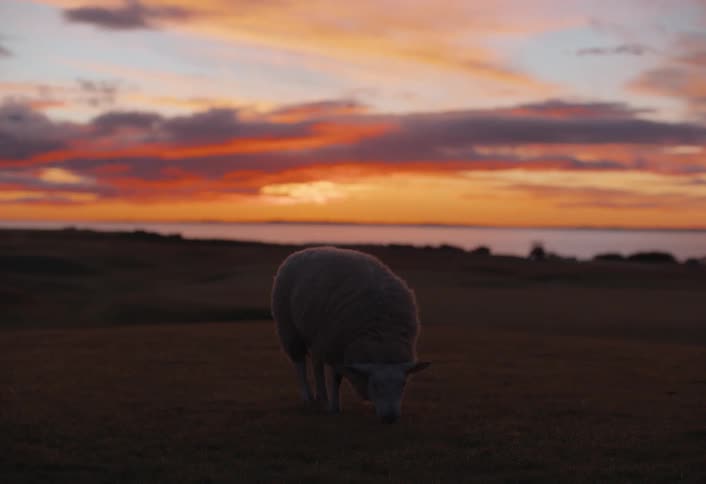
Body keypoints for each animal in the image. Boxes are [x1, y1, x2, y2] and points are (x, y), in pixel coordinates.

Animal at [271, 246, 430, 423]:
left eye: (403, 384)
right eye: (375, 385)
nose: (390, 418)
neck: (382, 337)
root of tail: (301, 251)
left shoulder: (340, 348)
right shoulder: (336, 347)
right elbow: (335, 379)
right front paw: (334, 407)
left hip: (318, 338)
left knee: (316, 364)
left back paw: (319, 397)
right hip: (290, 328)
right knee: (300, 365)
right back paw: (309, 397)